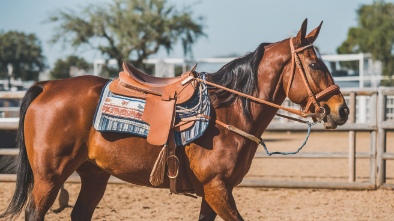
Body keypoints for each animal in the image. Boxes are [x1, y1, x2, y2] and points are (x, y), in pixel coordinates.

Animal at [2, 19, 348, 221]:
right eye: (315, 64)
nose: (342, 109)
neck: (229, 112)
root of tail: (47, 85)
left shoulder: (214, 193)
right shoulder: (217, 189)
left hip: (94, 174)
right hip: (49, 177)